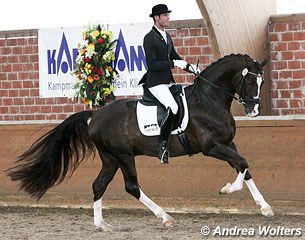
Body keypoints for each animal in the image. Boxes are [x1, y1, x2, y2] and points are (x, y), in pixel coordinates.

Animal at [6, 54, 274, 231]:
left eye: (261, 82)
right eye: (251, 82)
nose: (254, 111)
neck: (209, 100)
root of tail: (95, 115)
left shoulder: (228, 143)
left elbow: (244, 167)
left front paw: (264, 207)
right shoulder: (211, 147)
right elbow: (243, 164)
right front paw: (227, 188)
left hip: (111, 158)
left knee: (98, 185)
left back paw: (101, 224)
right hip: (123, 156)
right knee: (131, 186)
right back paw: (165, 217)